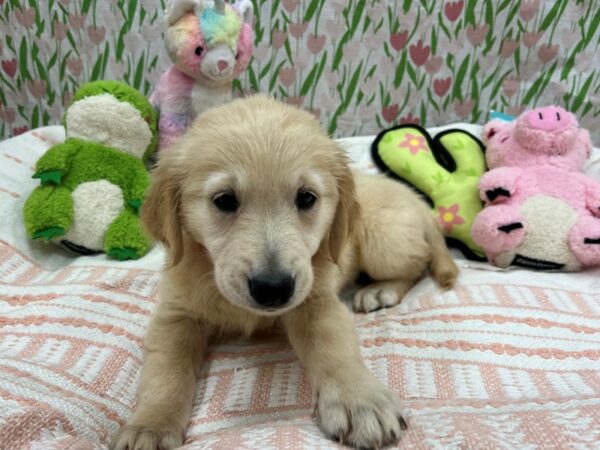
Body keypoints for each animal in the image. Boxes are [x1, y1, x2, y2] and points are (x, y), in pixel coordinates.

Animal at [111, 96, 460, 450]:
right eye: (224, 200)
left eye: (306, 198)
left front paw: (358, 400)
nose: (273, 288)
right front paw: (151, 425)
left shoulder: (316, 299)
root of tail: (420, 203)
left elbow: (334, 346)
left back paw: (379, 290)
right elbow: (167, 369)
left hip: (383, 241)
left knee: (418, 263)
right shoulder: (176, 314)